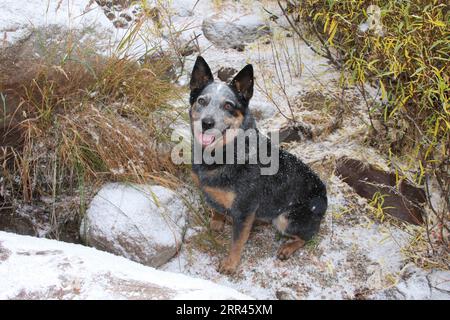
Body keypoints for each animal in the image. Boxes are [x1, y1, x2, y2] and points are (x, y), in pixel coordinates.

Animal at [188, 56, 326, 274]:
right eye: (202, 101)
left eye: (228, 106)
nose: (207, 123)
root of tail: (324, 194)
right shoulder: (213, 194)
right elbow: (217, 208)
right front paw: (217, 223)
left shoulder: (244, 209)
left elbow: (237, 242)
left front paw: (230, 264)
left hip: (286, 218)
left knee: (308, 235)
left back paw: (288, 247)